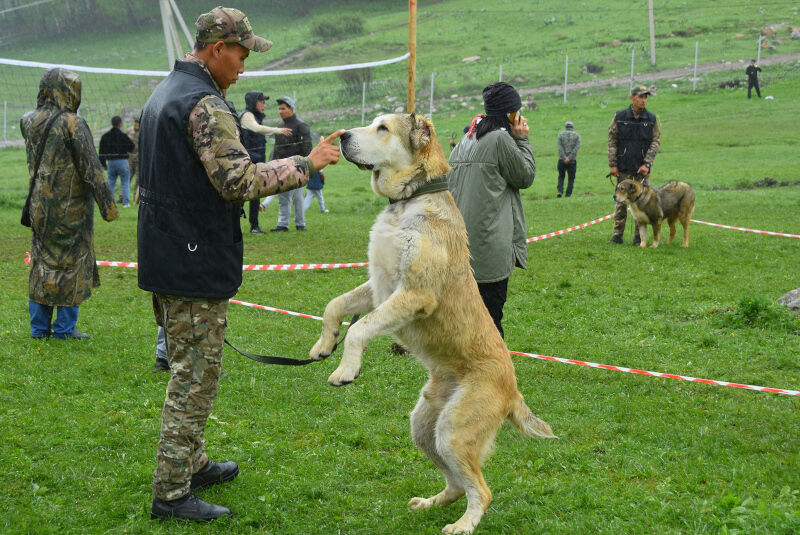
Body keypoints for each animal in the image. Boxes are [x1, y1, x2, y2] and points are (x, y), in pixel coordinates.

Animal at [308, 112, 556, 532]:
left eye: (382, 129)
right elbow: (335, 306)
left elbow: (360, 327)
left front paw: (346, 369)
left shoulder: (413, 294)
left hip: (453, 431)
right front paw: (324, 345)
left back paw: (464, 525)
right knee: (457, 484)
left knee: (481, 490)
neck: (408, 202)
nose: (341, 136)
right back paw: (430, 503)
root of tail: (514, 391)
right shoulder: (380, 288)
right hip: (425, 428)